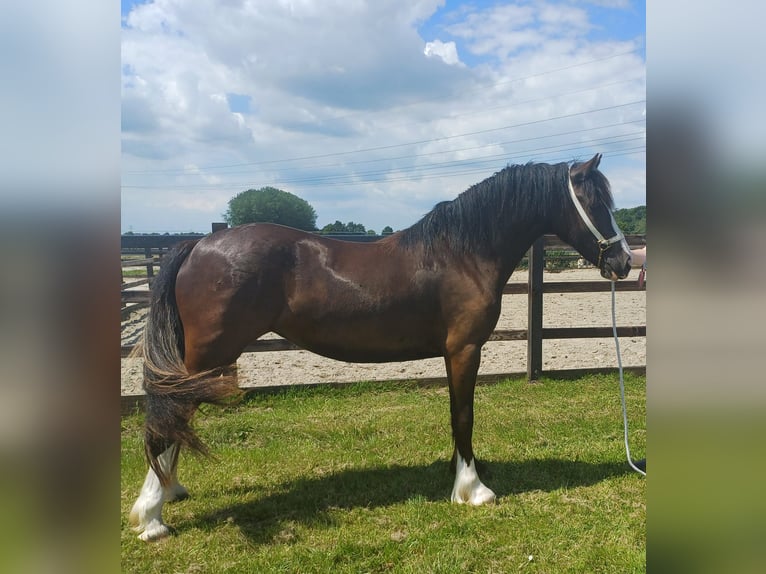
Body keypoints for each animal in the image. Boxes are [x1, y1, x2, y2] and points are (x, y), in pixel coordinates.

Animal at [132, 155, 632, 544]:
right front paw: (471, 489)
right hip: (207, 357)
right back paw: (153, 517)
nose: (623, 262)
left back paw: (168, 491)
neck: (461, 253)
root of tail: (199, 244)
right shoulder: (465, 350)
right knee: (168, 418)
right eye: (595, 203)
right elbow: (463, 416)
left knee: (174, 420)